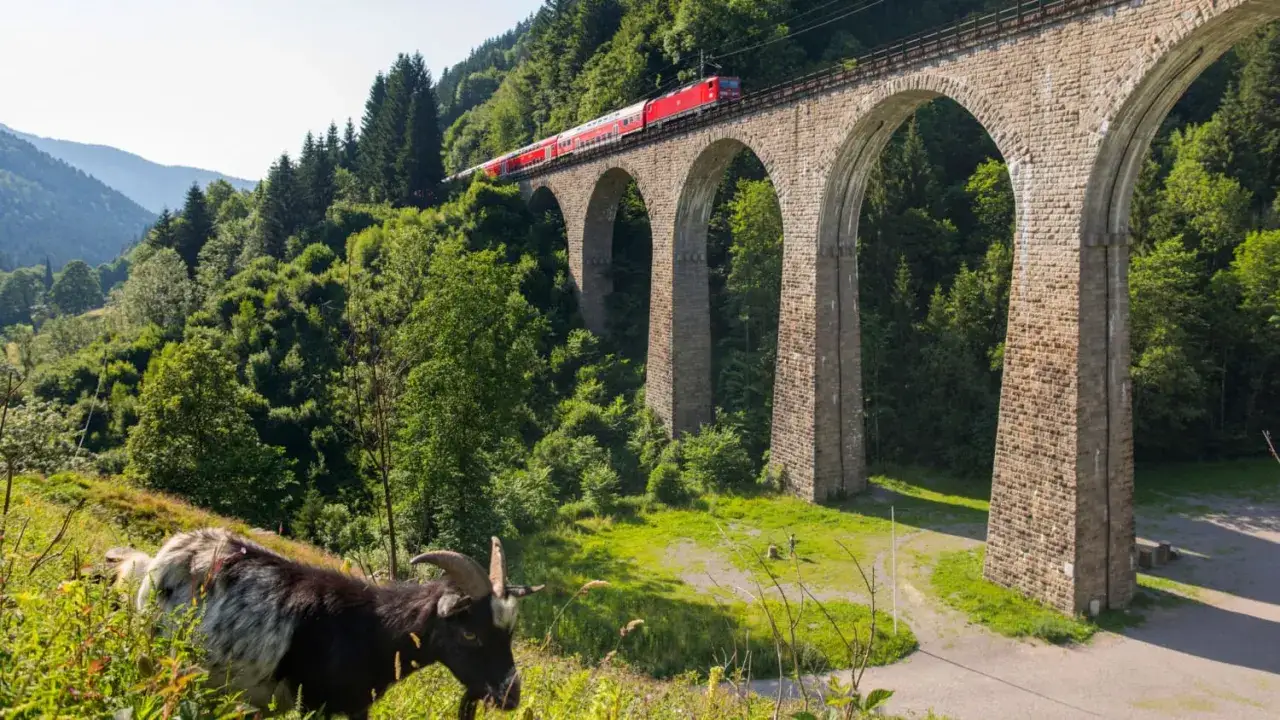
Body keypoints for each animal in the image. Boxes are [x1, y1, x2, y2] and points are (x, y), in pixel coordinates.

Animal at [112, 527, 544, 720]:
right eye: (470, 633)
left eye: (508, 635)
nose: (510, 697)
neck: (373, 630)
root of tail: (162, 557)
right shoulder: (315, 704)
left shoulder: (355, 707)